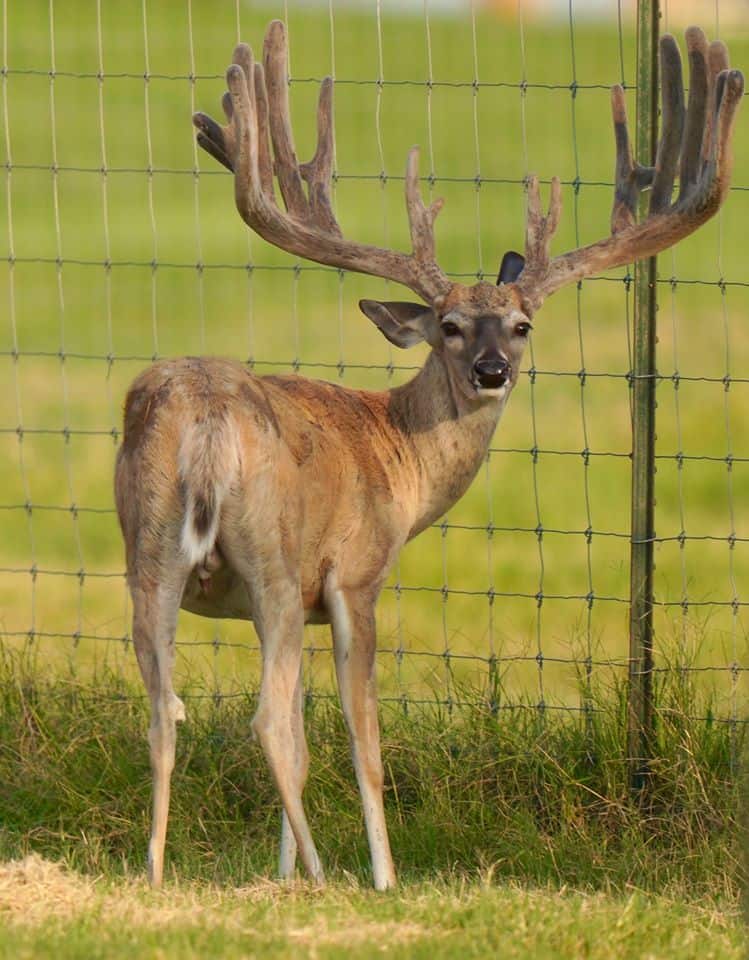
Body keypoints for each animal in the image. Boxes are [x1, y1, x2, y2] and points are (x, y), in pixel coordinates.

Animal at [115, 22, 743, 890]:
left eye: (520, 325)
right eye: (448, 326)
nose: (491, 371)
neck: (395, 454)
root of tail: (206, 415)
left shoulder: (292, 598)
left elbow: (304, 736)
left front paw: (280, 876)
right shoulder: (351, 576)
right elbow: (359, 745)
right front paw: (379, 876)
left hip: (149, 549)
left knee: (162, 711)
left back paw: (156, 874)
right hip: (272, 554)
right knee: (264, 720)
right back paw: (327, 878)